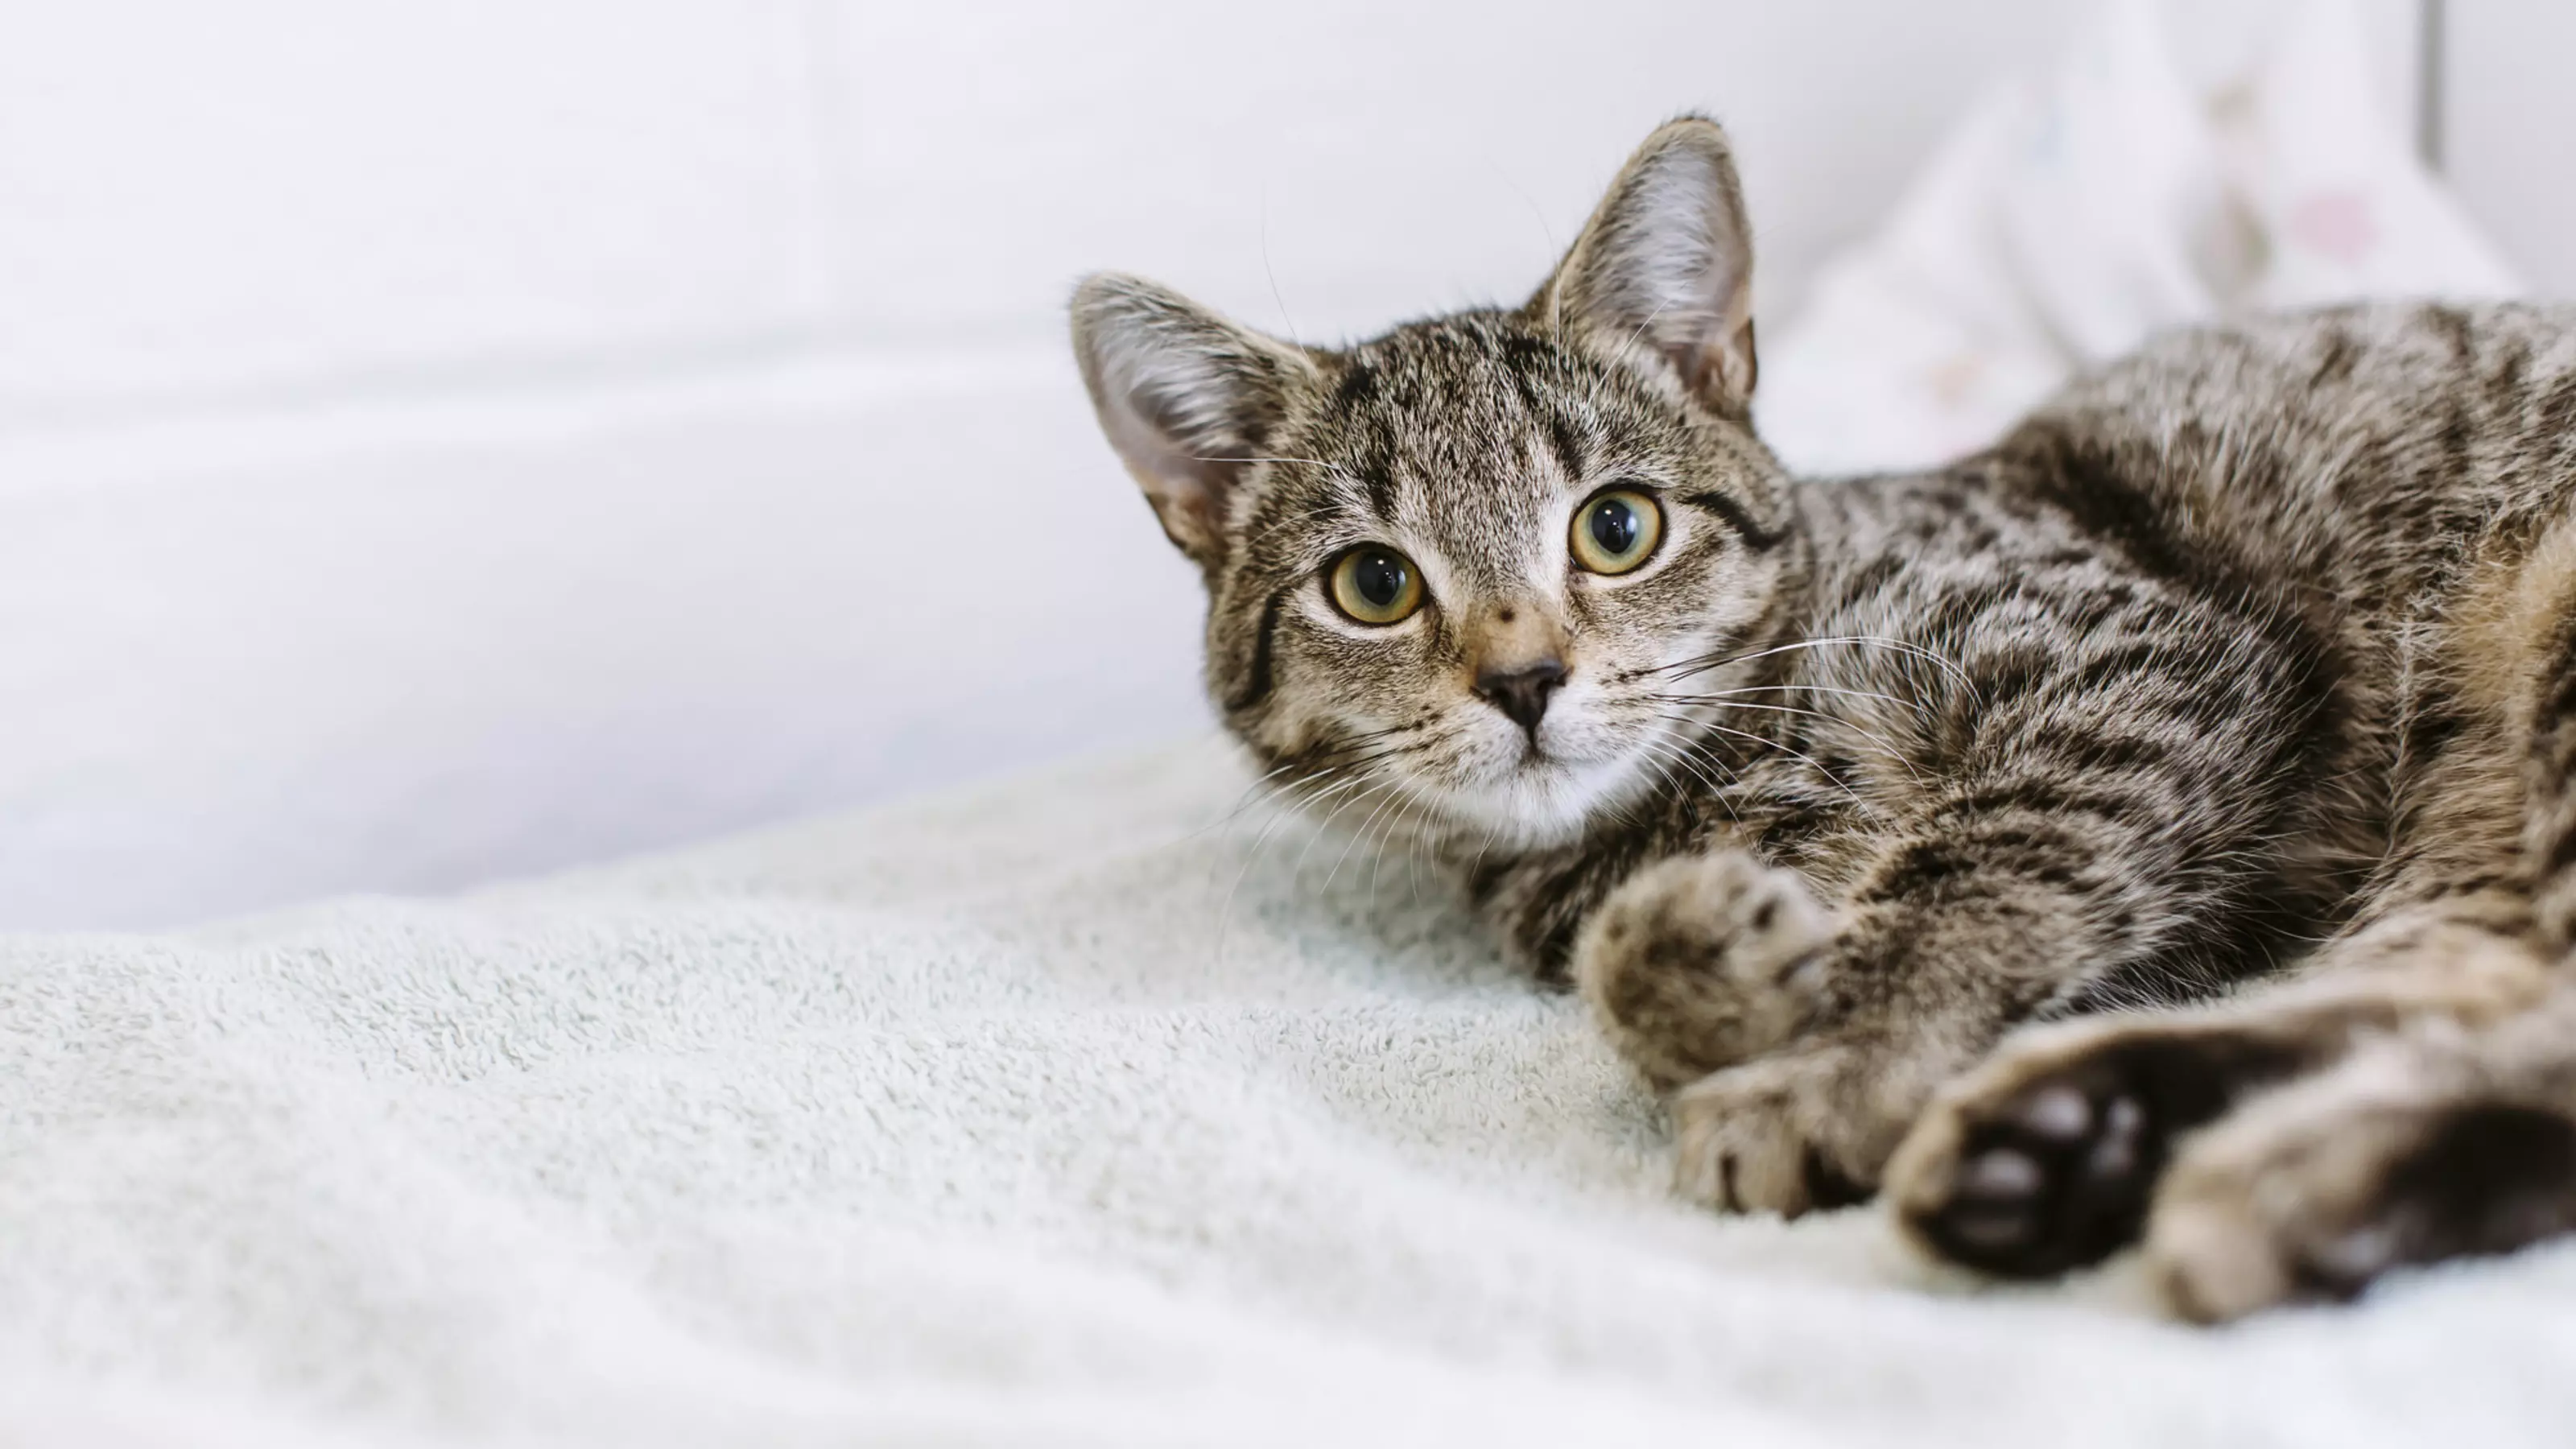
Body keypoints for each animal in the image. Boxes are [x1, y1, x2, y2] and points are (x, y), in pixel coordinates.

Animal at [1071, 115, 2576, 1310]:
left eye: (1617, 526)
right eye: (1374, 584)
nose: (1524, 680)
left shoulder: (2130, 661)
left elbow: (1977, 872)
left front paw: (1832, 1057)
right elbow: (1641, 959)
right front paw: (1713, 959)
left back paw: (2269, 1181)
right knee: (2467, 994)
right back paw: (2092, 1141)